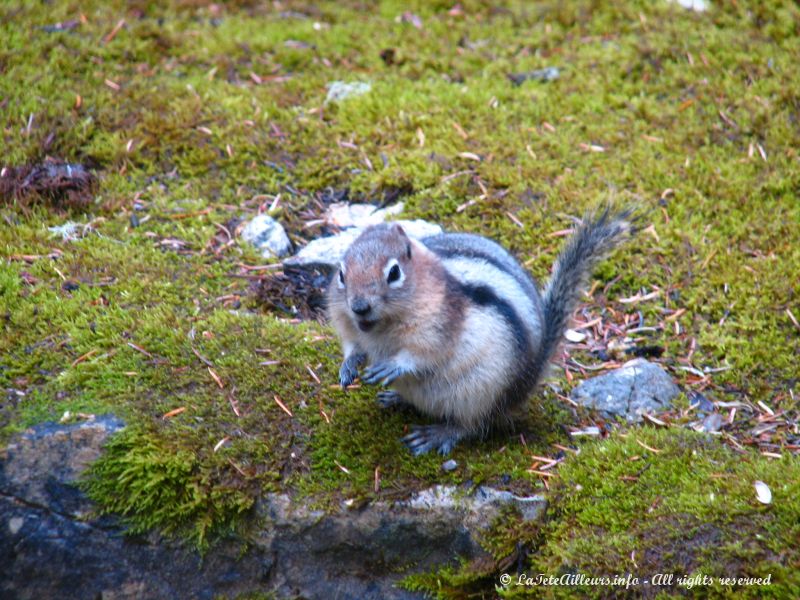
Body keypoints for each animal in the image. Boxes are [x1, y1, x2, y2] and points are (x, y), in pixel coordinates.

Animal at [328, 210, 636, 454]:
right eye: (341, 274)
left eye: (394, 273)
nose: (359, 307)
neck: (381, 328)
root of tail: (529, 379)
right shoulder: (350, 326)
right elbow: (353, 345)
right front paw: (348, 367)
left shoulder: (438, 326)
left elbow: (423, 354)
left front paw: (394, 365)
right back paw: (396, 398)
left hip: (480, 393)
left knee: (473, 425)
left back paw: (437, 434)